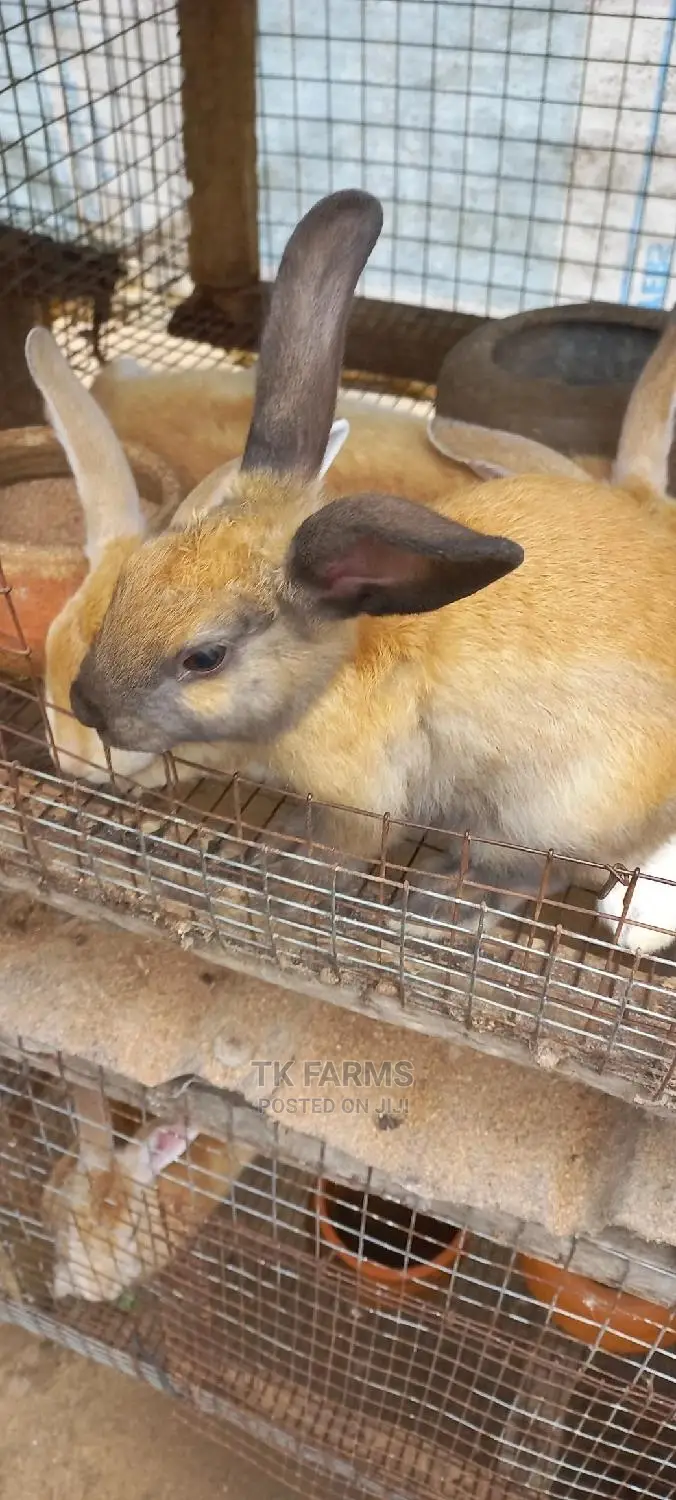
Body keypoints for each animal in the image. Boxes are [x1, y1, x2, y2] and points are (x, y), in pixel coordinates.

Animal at [25, 189, 676, 953]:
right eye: (129, 583)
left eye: (205, 658)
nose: (87, 707)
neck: (328, 680)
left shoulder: (361, 805)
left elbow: (343, 850)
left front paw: (273, 867)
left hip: (547, 813)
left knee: (536, 872)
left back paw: (444, 901)